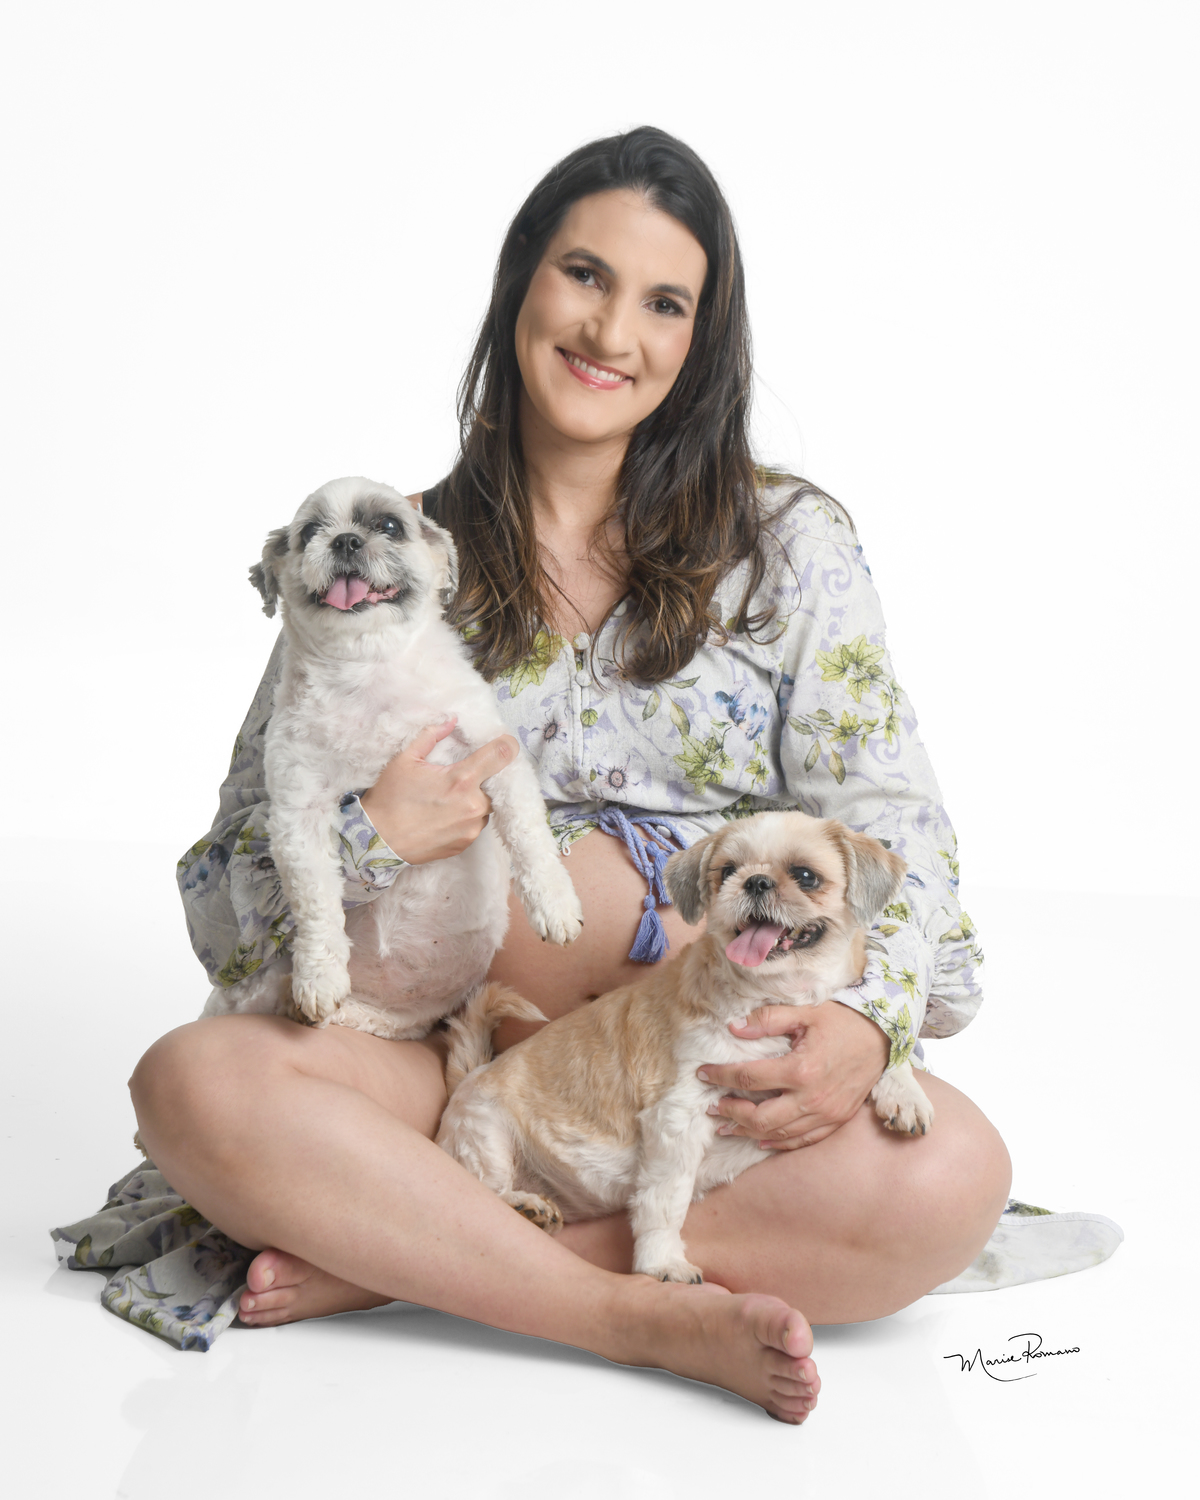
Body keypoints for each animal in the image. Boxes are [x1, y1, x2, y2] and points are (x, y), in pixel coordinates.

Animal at [201, 476, 583, 1041]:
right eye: (309, 532)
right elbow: (314, 900)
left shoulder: (495, 756)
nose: (345, 540)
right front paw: (319, 977)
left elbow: (529, 836)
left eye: (387, 525)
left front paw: (555, 906)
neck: (367, 673)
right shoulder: (297, 813)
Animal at [436, 809, 933, 1282]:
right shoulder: (679, 1114)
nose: (756, 880)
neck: (774, 996)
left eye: (806, 876)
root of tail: (470, 1075)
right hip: (485, 1135)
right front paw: (661, 1261)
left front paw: (903, 1091)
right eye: (727, 870)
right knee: (485, 1190)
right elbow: (665, 1200)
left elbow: (889, 1048)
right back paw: (525, 1205)